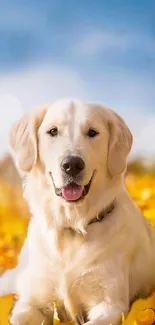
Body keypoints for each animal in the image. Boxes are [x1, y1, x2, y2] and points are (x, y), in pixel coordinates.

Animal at [0, 98, 155, 324]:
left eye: (92, 132)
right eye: (53, 131)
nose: (72, 165)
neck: (72, 226)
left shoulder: (110, 305)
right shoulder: (32, 301)